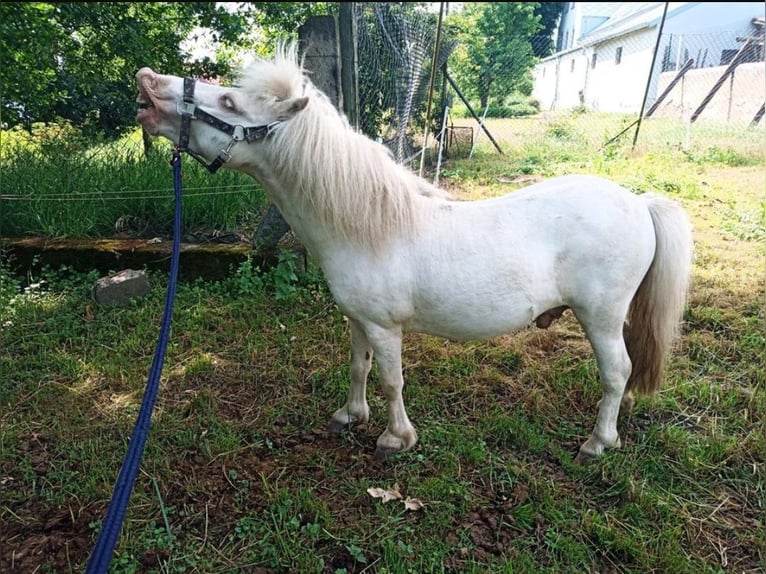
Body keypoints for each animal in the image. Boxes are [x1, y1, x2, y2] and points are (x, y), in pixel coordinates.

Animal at [138, 41, 696, 464]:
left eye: (229, 103)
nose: (147, 84)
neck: (364, 225)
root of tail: (639, 202)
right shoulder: (357, 320)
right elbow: (359, 367)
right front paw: (349, 416)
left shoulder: (385, 327)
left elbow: (391, 380)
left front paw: (395, 438)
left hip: (601, 317)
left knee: (616, 372)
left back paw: (597, 443)